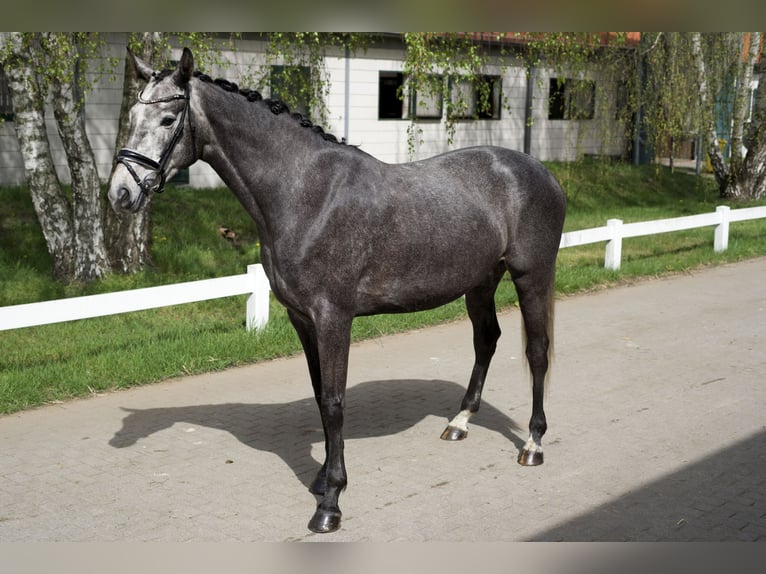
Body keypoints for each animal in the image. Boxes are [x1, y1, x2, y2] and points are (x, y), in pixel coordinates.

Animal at [108, 47, 567, 534]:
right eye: (132, 115)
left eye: (168, 119)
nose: (120, 194)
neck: (306, 193)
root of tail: (542, 173)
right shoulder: (302, 319)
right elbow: (318, 396)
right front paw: (323, 478)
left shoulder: (333, 318)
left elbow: (333, 403)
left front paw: (331, 502)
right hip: (480, 281)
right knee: (486, 340)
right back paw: (460, 422)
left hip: (532, 276)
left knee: (537, 351)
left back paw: (533, 444)